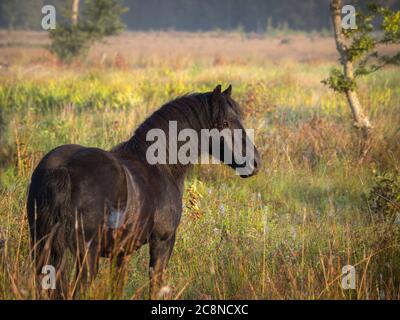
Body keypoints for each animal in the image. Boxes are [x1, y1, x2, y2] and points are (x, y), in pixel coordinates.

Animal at [26, 84, 260, 298]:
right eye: (225, 123)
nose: (255, 162)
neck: (160, 165)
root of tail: (62, 169)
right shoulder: (162, 242)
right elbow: (155, 286)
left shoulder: (120, 253)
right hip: (86, 257)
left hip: (42, 251)